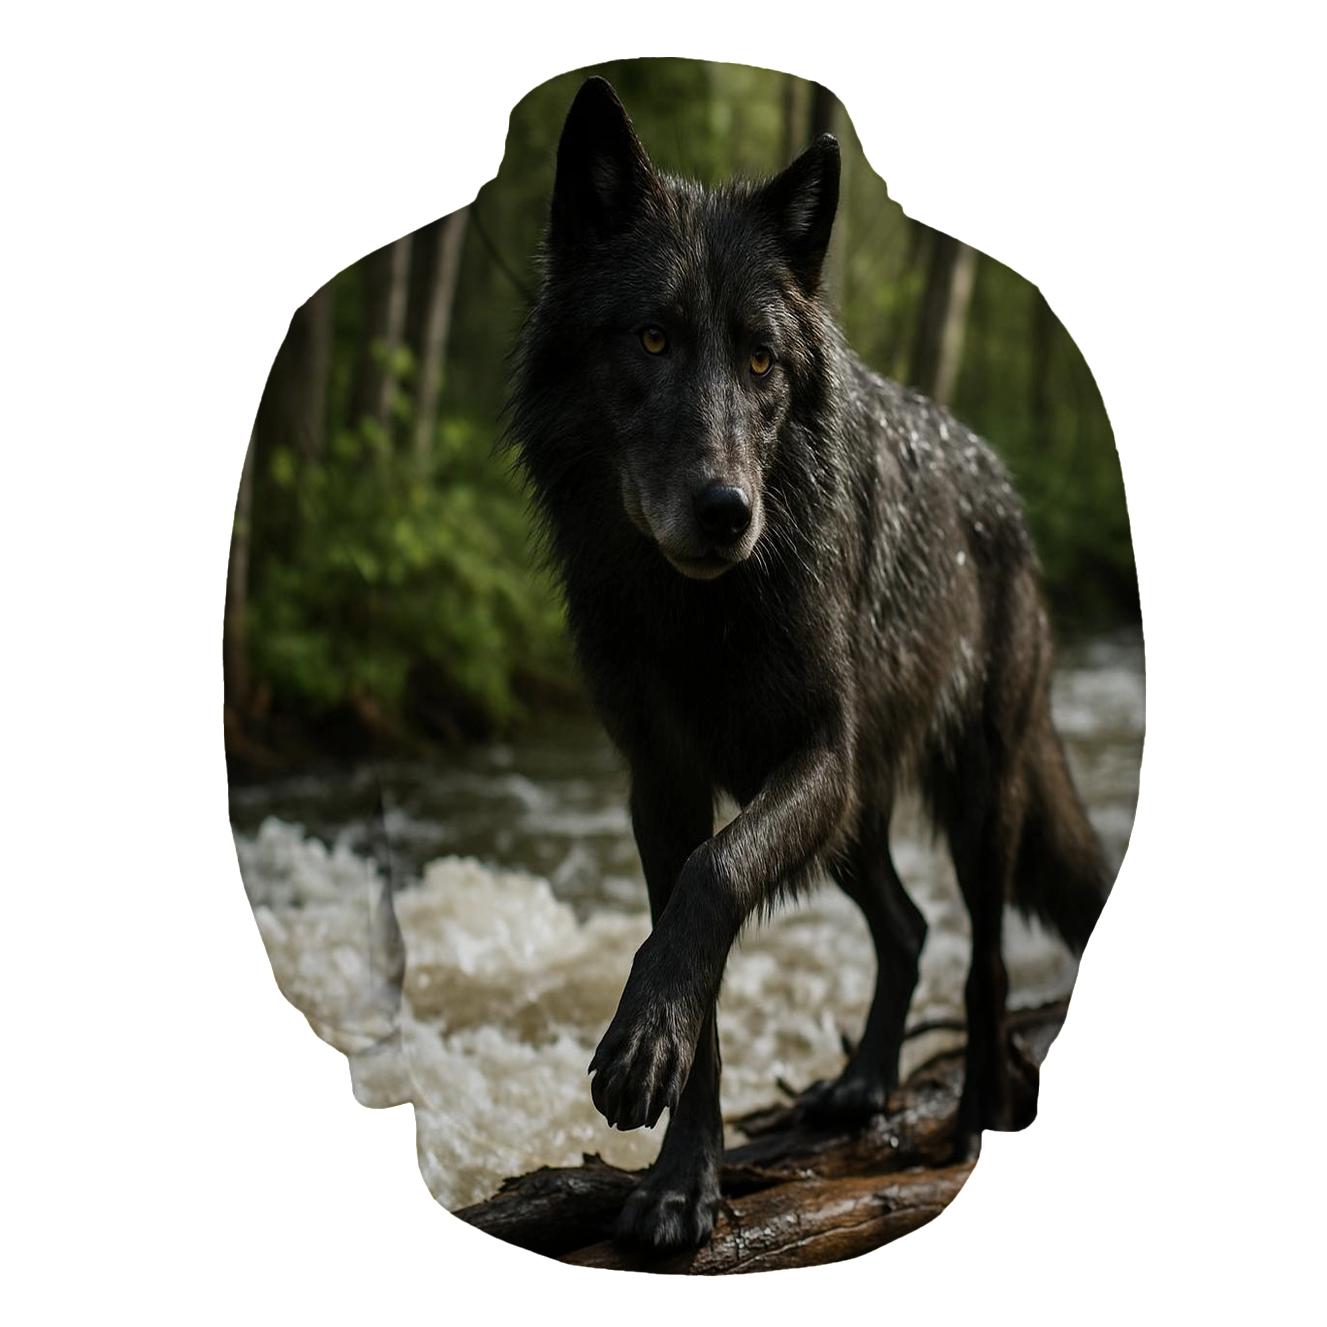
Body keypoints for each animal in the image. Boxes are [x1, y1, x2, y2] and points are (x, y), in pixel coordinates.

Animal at [508, 76, 1109, 1252]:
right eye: (652, 338)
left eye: (759, 360)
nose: (724, 511)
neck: (700, 612)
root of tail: (1005, 489)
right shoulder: (662, 783)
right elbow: (696, 955)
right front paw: (681, 1183)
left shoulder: (813, 755)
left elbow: (716, 878)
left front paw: (644, 1051)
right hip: (851, 825)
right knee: (907, 927)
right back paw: (863, 1085)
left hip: (974, 797)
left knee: (979, 956)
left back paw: (975, 1111)